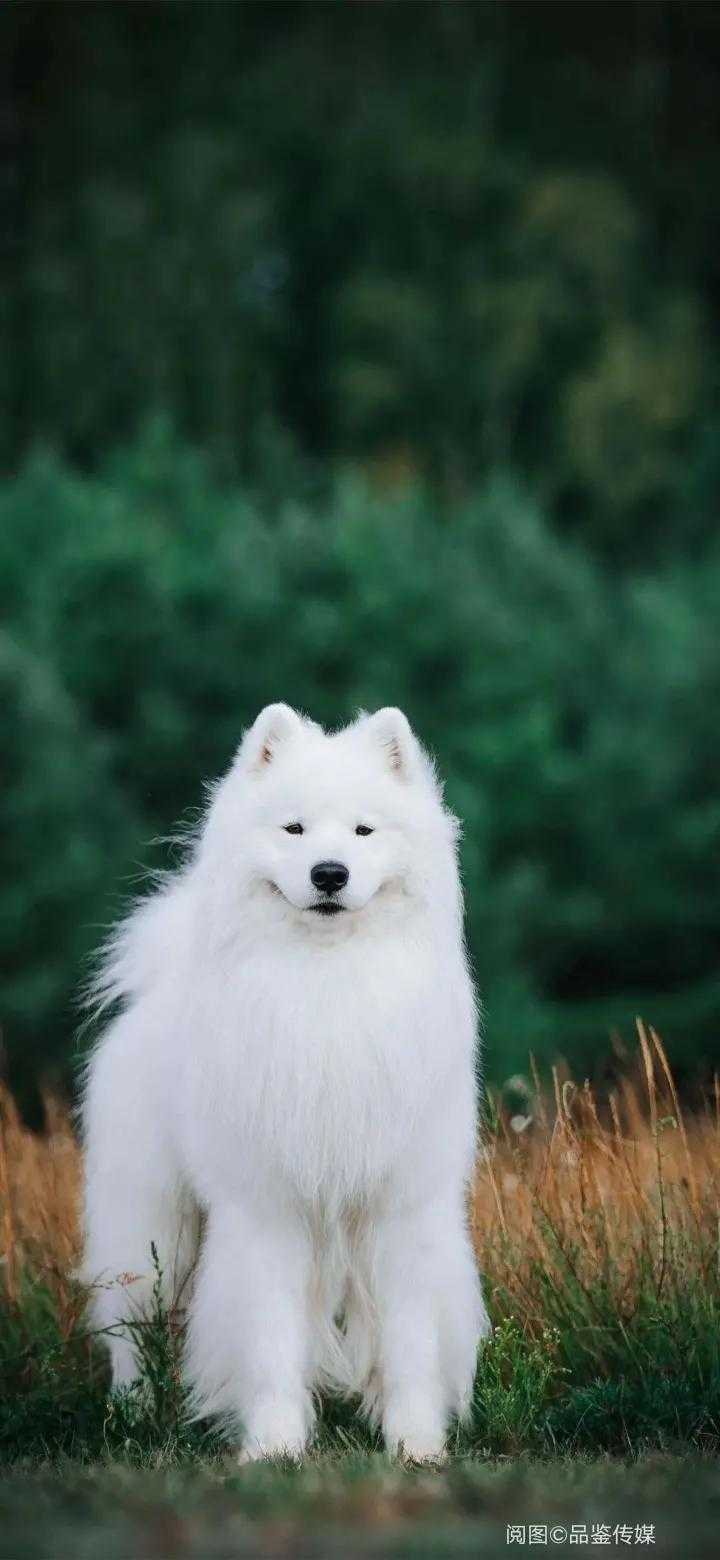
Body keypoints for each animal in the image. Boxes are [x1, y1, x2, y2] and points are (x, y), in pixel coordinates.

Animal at [82, 708, 489, 1460]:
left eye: (363, 831)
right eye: (294, 829)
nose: (329, 873)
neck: (326, 985)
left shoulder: (399, 1211)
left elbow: (411, 1344)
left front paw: (415, 1444)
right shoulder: (267, 1211)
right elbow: (268, 1340)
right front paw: (273, 1447)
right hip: (152, 1224)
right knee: (131, 1328)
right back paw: (131, 1416)